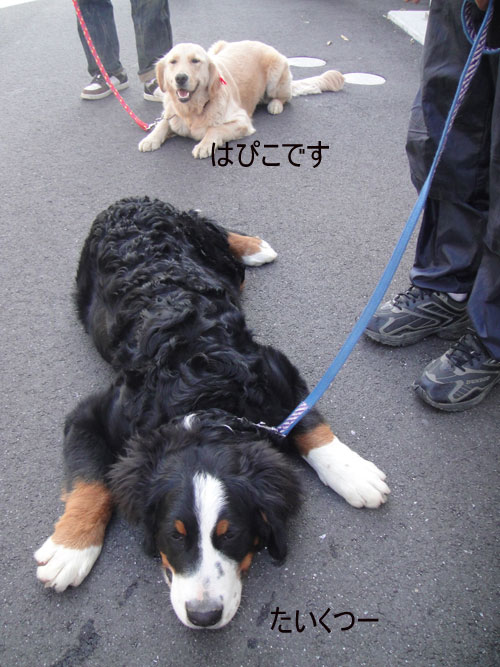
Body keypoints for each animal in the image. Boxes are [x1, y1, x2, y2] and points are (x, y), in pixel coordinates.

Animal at [34, 197, 389, 629]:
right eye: (174, 535)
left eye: (231, 534)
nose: (203, 616)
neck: (200, 397)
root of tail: (129, 202)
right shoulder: (93, 414)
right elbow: (88, 483)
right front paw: (70, 549)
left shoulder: (273, 369)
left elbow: (308, 423)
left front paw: (352, 473)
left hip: (214, 255)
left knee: (215, 232)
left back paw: (254, 246)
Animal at [138, 40, 344, 158]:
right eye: (172, 62)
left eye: (195, 61)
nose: (180, 78)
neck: (193, 110)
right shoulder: (173, 115)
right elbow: (162, 123)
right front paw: (150, 139)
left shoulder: (242, 121)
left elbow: (214, 129)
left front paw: (204, 145)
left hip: (276, 75)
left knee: (285, 97)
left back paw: (274, 105)